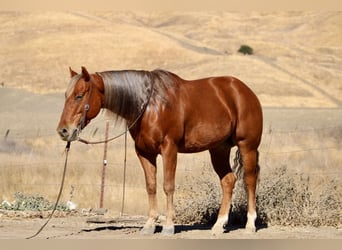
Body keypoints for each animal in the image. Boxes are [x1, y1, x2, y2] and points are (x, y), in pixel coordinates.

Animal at [57, 66, 264, 234]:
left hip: (247, 146)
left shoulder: (169, 149)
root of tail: (244, 91)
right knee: (228, 180)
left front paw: (168, 226)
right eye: (66, 96)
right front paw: (149, 225)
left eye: (79, 95)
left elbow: (168, 186)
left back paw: (250, 225)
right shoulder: (144, 153)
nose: (63, 130)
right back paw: (219, 225)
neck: (149, 106)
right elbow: (151, 186)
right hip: (218, 149)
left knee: (250, 180)